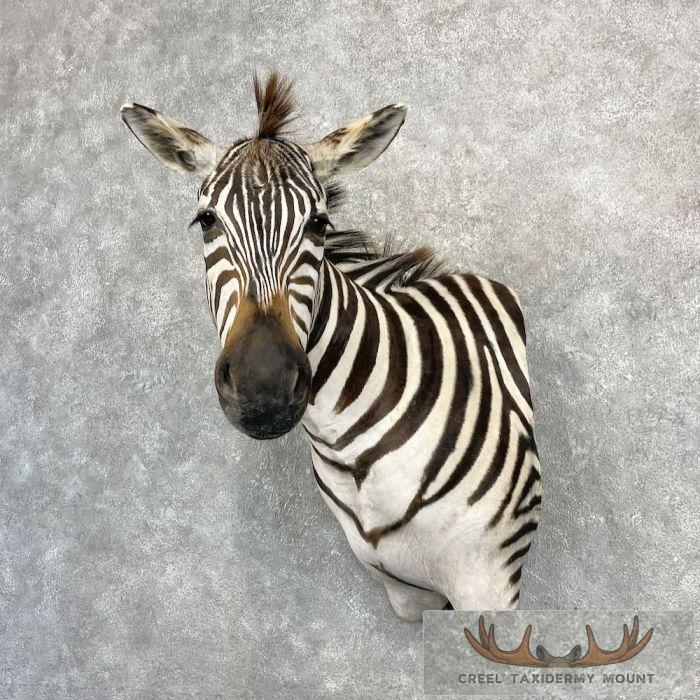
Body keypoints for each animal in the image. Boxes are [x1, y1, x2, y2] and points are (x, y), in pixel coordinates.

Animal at [120, 73, 542, 619]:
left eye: (318, 224)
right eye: (206, 221)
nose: (263, 390)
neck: (354, 458)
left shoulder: (487, 577)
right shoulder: (397, 585)